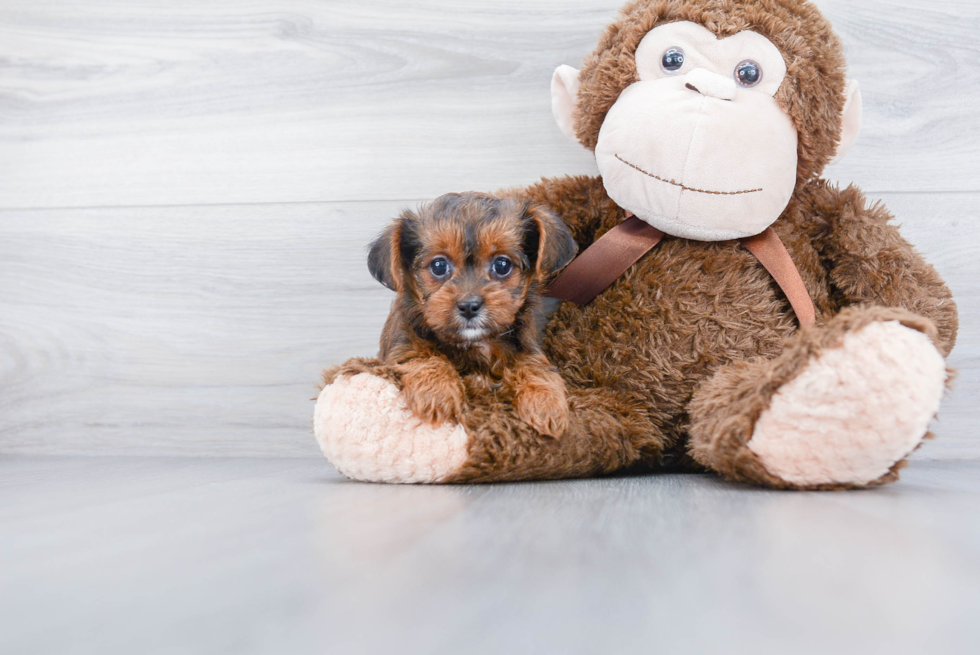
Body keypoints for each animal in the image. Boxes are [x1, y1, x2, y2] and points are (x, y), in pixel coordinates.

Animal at [370, 193, 580, 440]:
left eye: (502, 265)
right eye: (438, 266)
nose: (469, 306)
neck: (473, 343)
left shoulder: (526, 347)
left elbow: (536, 366)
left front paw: (546, 403)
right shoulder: (402, 345)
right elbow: (422, 356)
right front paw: (436, 392)